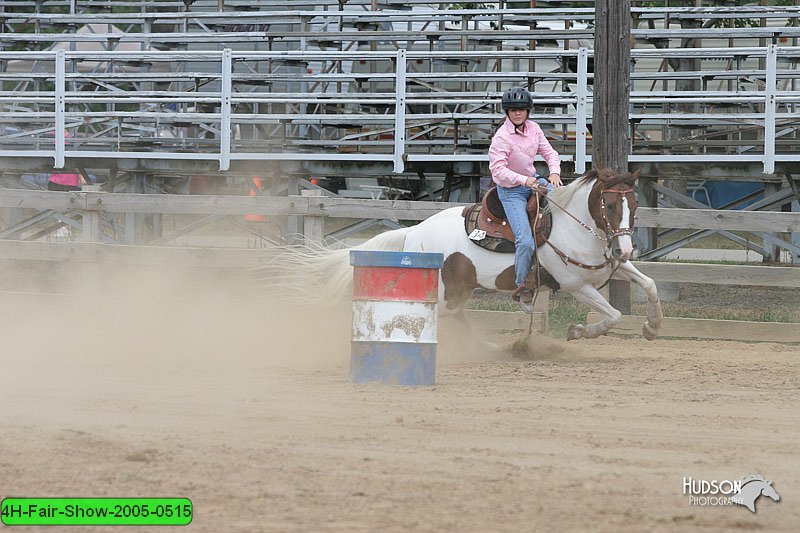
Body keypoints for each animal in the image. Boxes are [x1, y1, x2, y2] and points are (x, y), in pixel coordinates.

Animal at [260, 167, 664, 340]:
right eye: (608, 205)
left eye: (633, 204)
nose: (626, 246)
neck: (573, 228)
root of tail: (414, 231)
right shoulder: (576, 285)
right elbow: (613, 315)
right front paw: (581, 330)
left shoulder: (609, 269)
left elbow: (650, 284)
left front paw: (652, 325)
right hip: (441, 289)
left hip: (458, 288)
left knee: (455, 316)